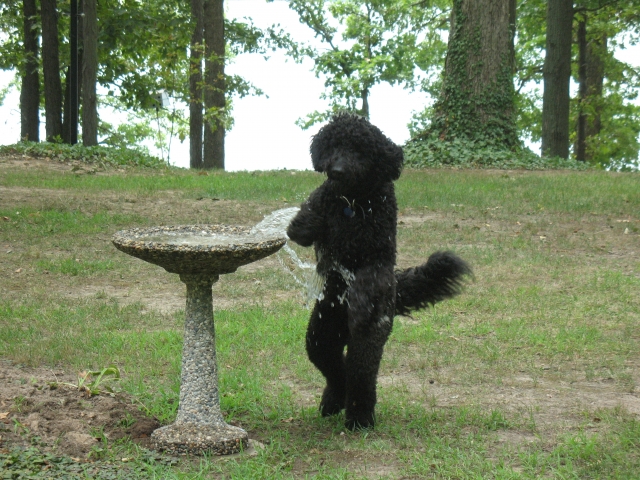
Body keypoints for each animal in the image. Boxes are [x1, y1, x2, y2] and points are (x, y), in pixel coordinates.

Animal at [286, 113, 470, 432]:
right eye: (333, 144)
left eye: (359, 149)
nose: (336, 170)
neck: (353, 202)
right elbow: (308, 219)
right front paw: (305, 219)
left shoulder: (379, 259)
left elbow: (368, 278)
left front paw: (360, 303)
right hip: (323, 333)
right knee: (334, 366)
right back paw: (334, 399)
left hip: (367, 338)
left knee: (360, 373)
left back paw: (359, 417)